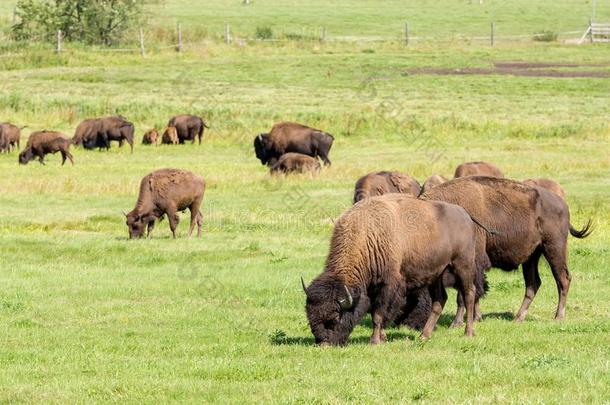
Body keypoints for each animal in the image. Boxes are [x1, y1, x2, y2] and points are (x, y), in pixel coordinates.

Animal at [300, 193, 480, 344]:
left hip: (462, 265)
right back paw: (423, 336)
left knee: (469, 294)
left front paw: (374, 341)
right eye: (310, 316)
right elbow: (376, 312)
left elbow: (378, 315)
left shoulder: (387, 286)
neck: (368, 234)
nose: (323, 343)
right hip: (436, 274)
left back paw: (468, 333)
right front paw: (383, 338)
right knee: (439, 300)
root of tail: (464, 214)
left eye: (336, 317)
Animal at [408, 175, 588, 326]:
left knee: (563, 279)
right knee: (533, 284)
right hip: (531, 257)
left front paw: (457, 323)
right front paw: (476, 318)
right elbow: (475, 291)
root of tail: (563, 204)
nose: (411, 323)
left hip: (554, 248)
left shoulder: (469, 264)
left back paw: (558, 316)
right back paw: (518, 318)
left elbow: (464, 294)